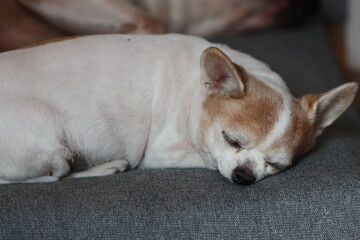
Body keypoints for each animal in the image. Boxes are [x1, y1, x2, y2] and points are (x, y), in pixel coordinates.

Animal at [0, 34, 358, 184]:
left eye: (277, 165)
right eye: (231, 139)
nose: (244, 176)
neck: (197, 87)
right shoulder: (159, 154)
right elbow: (208, 158)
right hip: (52, 146)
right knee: (52, 177)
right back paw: (107, 168)